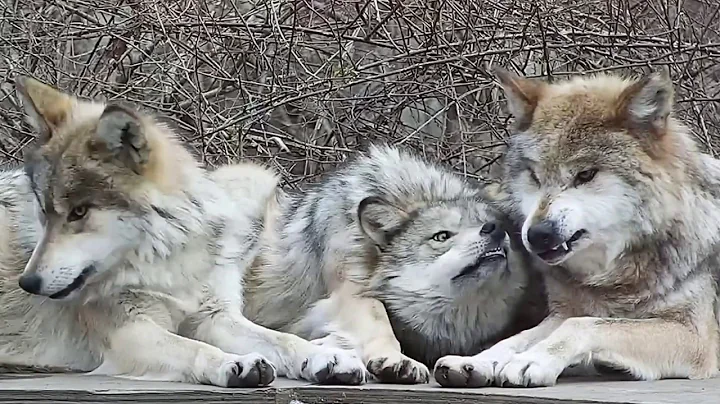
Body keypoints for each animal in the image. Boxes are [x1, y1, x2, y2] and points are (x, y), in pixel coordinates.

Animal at [0, 77, 366, 386]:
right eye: (43, 210)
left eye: (79, 212)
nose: (27, 283)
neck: (169, 262)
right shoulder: (130, 332)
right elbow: (194, 349)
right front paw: (235, 364)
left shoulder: (214, 316)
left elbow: (283, 339)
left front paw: (325, 356)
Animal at [242, 144, 544, 384]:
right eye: (442, 236)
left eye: (489, 223)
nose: (494, 230)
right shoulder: (348, 293)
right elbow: (379, 319)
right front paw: (396, 361)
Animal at [436, 67, 720, 388]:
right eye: (534, 176)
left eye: (585, 174)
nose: (537, 235)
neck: (615, 279)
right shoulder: (561, 313)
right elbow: (518, 338)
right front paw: (477, 361)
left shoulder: (695, 336)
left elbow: (584, 325)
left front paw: (532, 361)